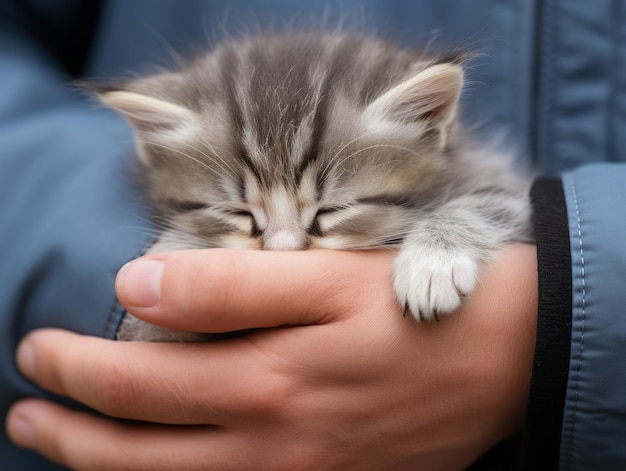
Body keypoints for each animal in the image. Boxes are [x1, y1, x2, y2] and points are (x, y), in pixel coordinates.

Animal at [97, 33, 532, 342]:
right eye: (237, 213)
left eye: (332, 211)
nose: (283, 252)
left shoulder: (505, 182)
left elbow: (489, 202)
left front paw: (431, 264)